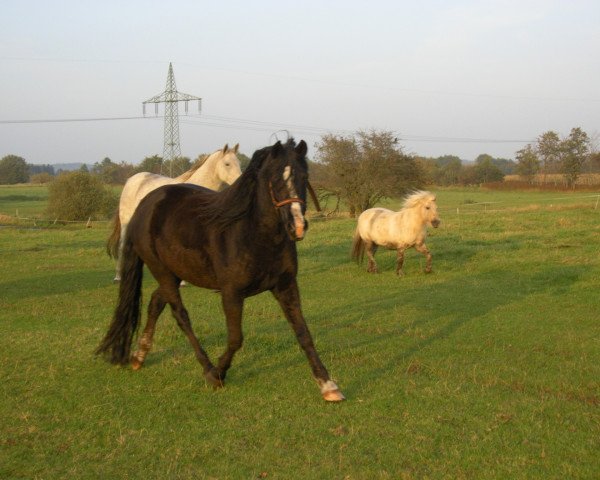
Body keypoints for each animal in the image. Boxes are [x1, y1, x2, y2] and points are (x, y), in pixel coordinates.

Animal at [108, 144, 241, 284]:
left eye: (239, 162)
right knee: (122, 246)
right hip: (126, 221)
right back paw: (118, 276)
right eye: (227, 164)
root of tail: (131, 180)